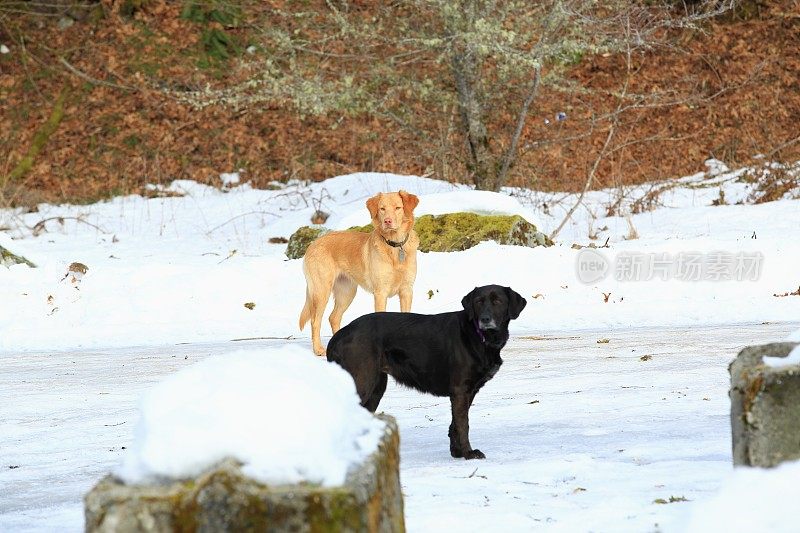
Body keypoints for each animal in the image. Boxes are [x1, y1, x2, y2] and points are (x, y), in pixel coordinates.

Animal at [300, 189, 422, 356]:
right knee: (315, 320)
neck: (395, 247)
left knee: (333, 317)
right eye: (382, 209)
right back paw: (318, 349)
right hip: (321, 291)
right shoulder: (380, 293)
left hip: (347, 293)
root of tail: (313, 243)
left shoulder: (407, 291)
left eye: (398, 208)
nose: (387, 221)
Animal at [324, 284, 524, 460]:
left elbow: (455, 424)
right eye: (478, 302)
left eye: (498, 301)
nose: (485, 319)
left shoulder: (467, 392)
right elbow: (463, 424)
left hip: (376, 388)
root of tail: (340, 335)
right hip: (362, 382)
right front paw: (468, 453)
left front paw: (457, 453)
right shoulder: (460, 390)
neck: (479, 336)